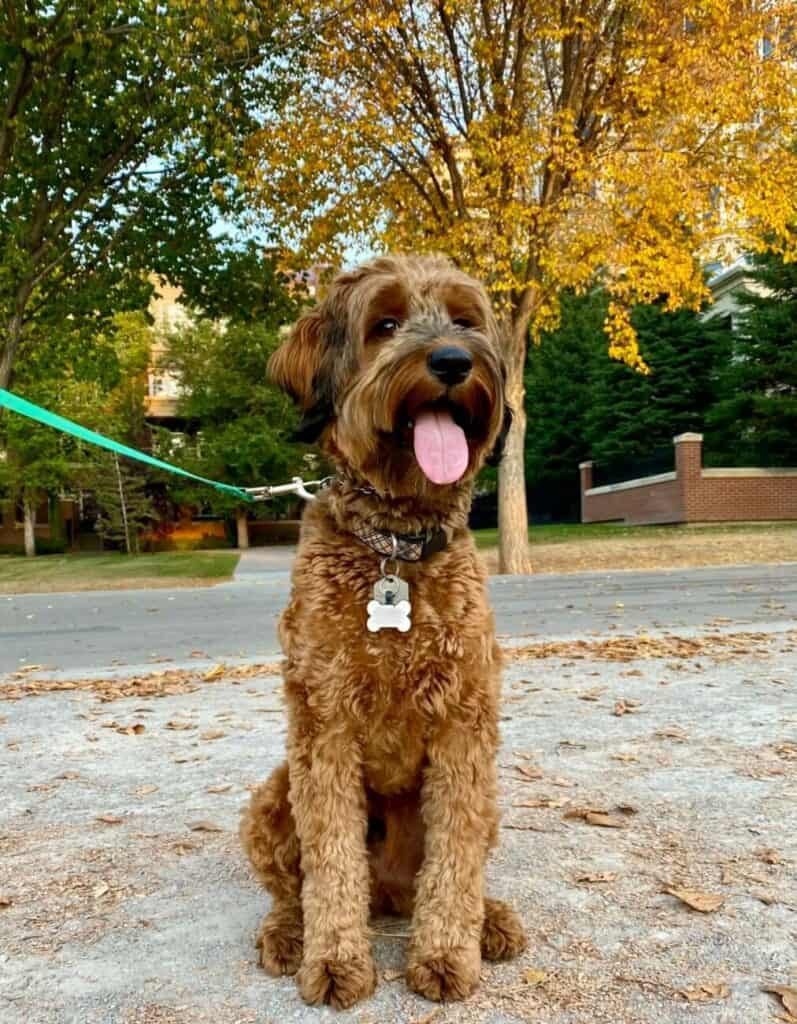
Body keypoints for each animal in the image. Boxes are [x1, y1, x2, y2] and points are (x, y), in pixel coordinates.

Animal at [241, 253, 528, 1007]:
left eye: (464, 320)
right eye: (386, 324)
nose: (454, 360)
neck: (394, 547)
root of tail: (392, 898)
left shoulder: (465, 726)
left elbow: (454, 860)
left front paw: (446, 954)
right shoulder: (324, 727)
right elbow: (331, 863)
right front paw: (336, 961)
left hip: (485, 802)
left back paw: (489, 919)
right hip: (273, 795)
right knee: (292, 889)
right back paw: (289, 933)